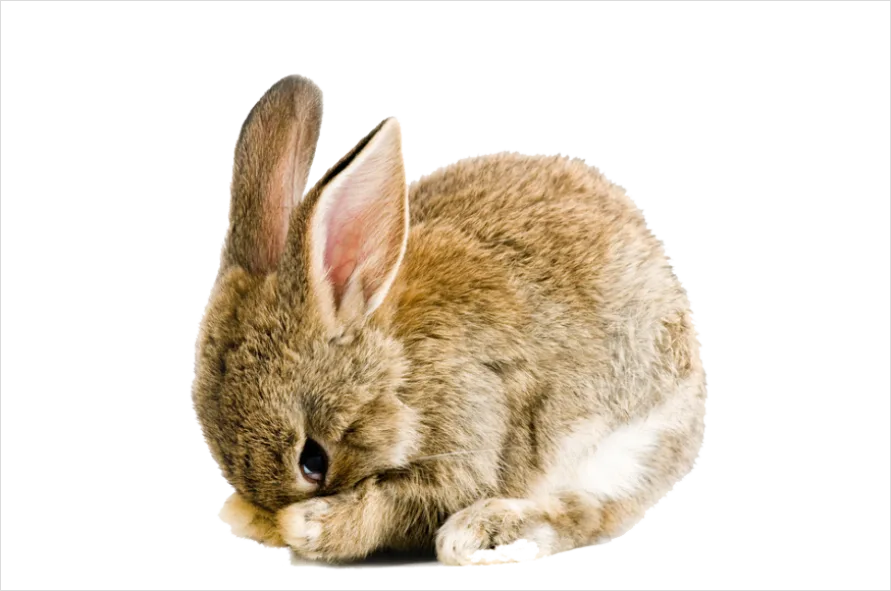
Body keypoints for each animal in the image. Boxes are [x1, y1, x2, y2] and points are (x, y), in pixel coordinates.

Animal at [193, 73, 707, 568]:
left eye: (312, 461)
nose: (271, 513)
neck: (399, 367)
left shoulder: (469, 427)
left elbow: (401, 507)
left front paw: (308, 525)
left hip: (634, 440)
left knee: (591, 509)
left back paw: (486, 534)